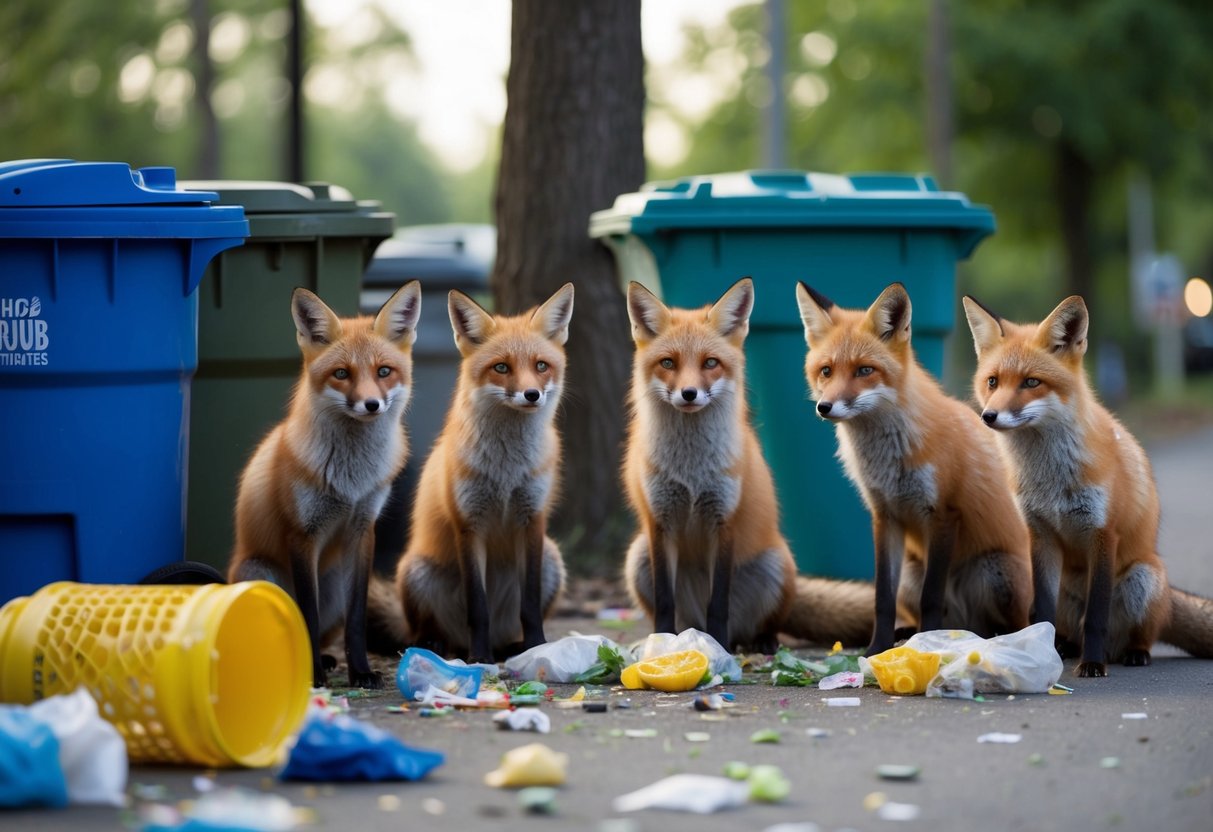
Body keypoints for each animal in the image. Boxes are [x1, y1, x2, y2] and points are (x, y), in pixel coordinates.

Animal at [228, 282, 422, 689]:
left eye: (384, 371)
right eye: (341, 373)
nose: (371, 404)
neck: (351, 478)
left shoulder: (362, 529)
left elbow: (358, 619)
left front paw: (361, 671)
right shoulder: (302, 534)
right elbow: (306, 613)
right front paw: (312, 674)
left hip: (332, 585)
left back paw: (331, 659)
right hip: (259, 573)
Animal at [395, 284, 573, 663]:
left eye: (541, 366)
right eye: (501, 367)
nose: (532, 394)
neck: (506, 471)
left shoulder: (532, 519)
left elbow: (530, 604)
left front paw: (536, 647)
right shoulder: (468, 523)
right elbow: (478, 607)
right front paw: (479, 658)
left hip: (552, 559)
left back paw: (511, 647)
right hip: (416, 572)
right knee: (424, 634)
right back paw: (439, 646)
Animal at [622, 278, 801, 653]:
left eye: (710, 363)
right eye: (668, 363)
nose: (689, 393)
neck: (690, 471)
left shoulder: (723, 519)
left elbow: (718, 602)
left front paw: (716, 645)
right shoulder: (660, 522)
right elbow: (664, 599)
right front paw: (662, 643)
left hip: (777, 565)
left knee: (757, 627)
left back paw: (755, 642)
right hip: (638, 556)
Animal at [796, 281, 1033, 656]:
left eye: (864, 371)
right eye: (826, 371)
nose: (825, 406)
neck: (889, 458)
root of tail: (965, 623)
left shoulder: (943, 513)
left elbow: (931, 597)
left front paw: (928, 644)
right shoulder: (884, 515)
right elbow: (882, 598)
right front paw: (877, 649)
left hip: (997, 571)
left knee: (1008, 625)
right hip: (912, 572)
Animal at [963, 294, 1213, 675]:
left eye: (1031, 383)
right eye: (992, 382)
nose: (988, 417)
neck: (1050, 479)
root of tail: (1170, 596)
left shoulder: (1103, 533)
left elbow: (1096, 616)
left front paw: (1093, 666)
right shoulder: (1041, 534)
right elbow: (1043, 615)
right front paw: (1042, 651)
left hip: (1142, 577)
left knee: (1136, 634)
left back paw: (1130, 653)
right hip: (1063, 586)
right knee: (1069, 628)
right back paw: (1065, 647)